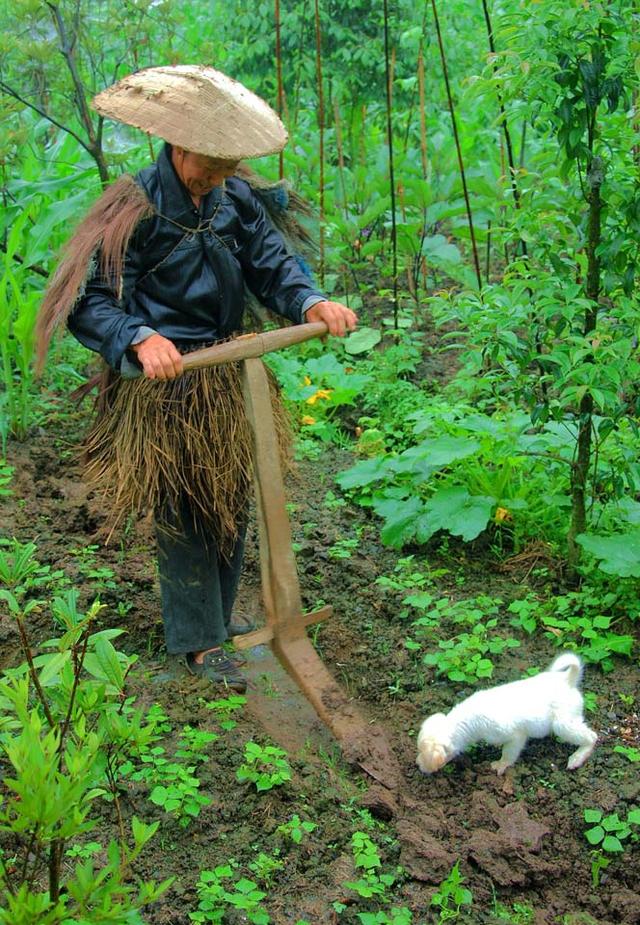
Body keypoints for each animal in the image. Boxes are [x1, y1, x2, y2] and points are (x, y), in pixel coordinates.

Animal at [418, 652, 596, 776]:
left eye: (424, 755)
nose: (417, 765)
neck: (466, 721)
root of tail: (568, 680)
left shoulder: (515, 737)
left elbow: (508, 754)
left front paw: (500, 765)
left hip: (563, 725)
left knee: (592, 737)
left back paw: (577, 757)